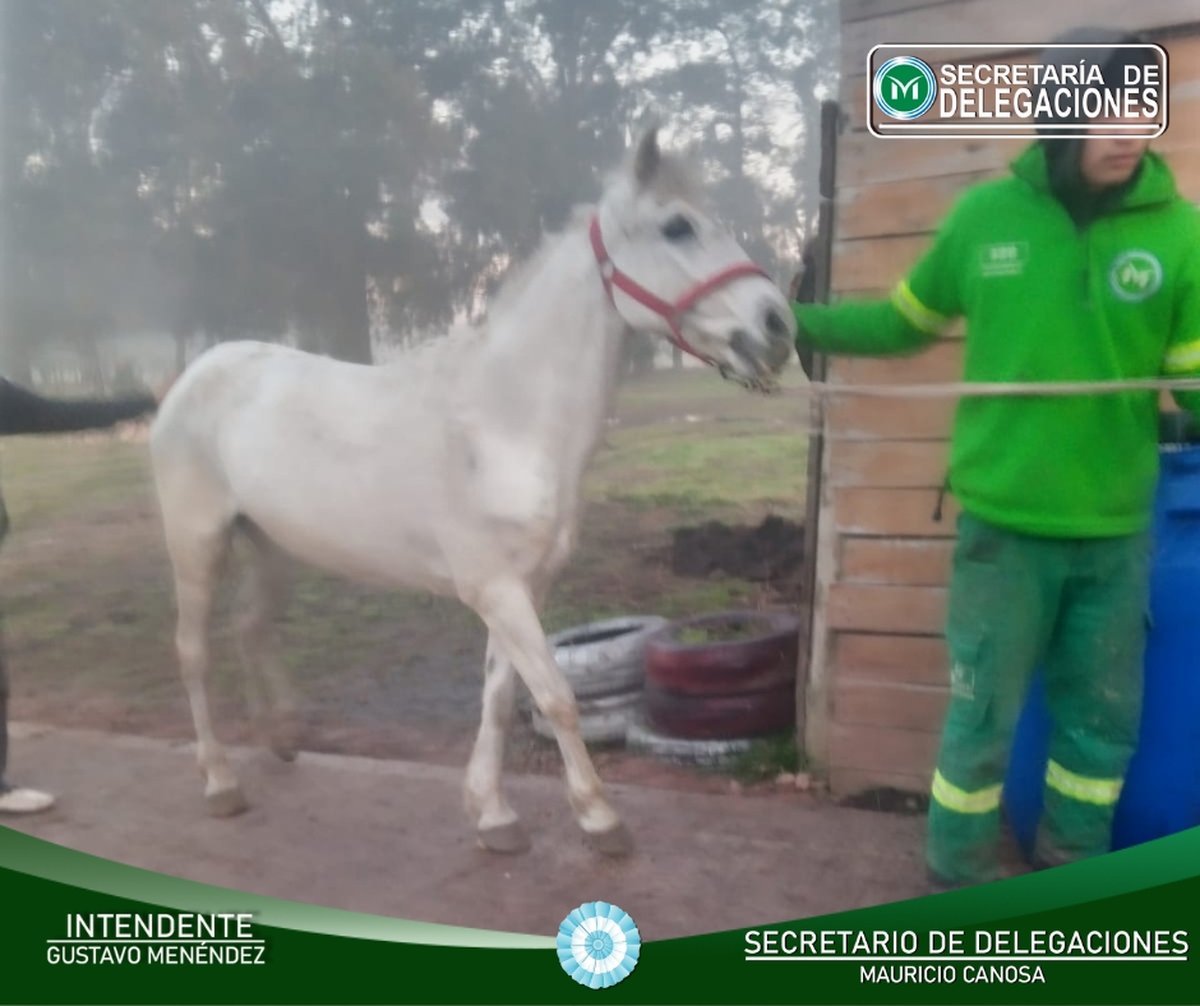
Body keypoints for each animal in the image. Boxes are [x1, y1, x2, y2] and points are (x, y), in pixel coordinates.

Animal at [149, 127, 797, 857]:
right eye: (677, 226)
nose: (777, 326)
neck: (503, 422)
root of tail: (195, 374)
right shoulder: (496, 589)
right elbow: (555, 696)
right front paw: (600, 819)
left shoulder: (523, 588)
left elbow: (499, 697)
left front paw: (493, 814)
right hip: (197, 544)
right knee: (194, 652)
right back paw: (221, 782)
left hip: (270, 546)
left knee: (252, 627)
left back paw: (281, 737)